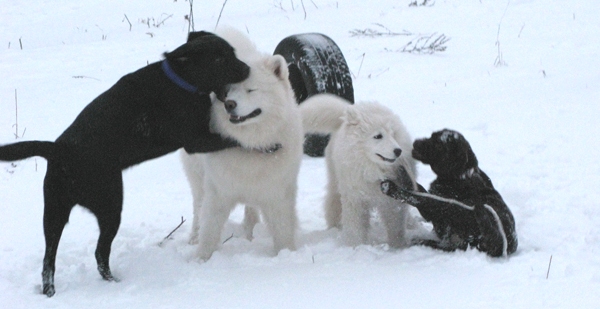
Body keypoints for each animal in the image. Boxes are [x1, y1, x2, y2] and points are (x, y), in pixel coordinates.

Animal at [0, 30, 250, 296]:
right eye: (219, 60)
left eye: (232, 52)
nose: (246, 69)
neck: (181, 81)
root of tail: (59, 150)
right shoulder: (196, 140)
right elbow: (230, 139)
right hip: (110, 207)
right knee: (99, 252)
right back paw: (113, 282)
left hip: (54, 213)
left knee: (49, 260)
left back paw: (50, 291)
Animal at [179, 28, 302, 260]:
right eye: (226, 91)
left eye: (251, 90)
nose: (229, 104)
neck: (251, 145)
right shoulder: (218, 192)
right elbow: (209, 230)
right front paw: (201, 259)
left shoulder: (277, 194)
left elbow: (283, 230)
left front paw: (287, 254)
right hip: (197, 175)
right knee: (198, 206)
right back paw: (193, 237)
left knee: (250, 210)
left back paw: (250, 233)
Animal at [300, 92, 418, 247]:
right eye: (378, 136)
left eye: (393, 134)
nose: (398, 151)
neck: (373, 171)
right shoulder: (355, 198)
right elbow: (355, 227)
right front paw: (355, 246)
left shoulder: (392, 199)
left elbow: (395, 225)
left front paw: (397, 246)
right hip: (336, 181)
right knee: (333, 202)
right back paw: (335, 226)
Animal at [382, 129, 516, 256]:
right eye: (432, 135)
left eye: (439, 146)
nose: (416, 142)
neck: (460, 175)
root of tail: (501, 246)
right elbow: (416, 186)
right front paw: (402, 171)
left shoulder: (435, 207)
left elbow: (417, 197)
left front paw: (392, 187)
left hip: (455, 212)